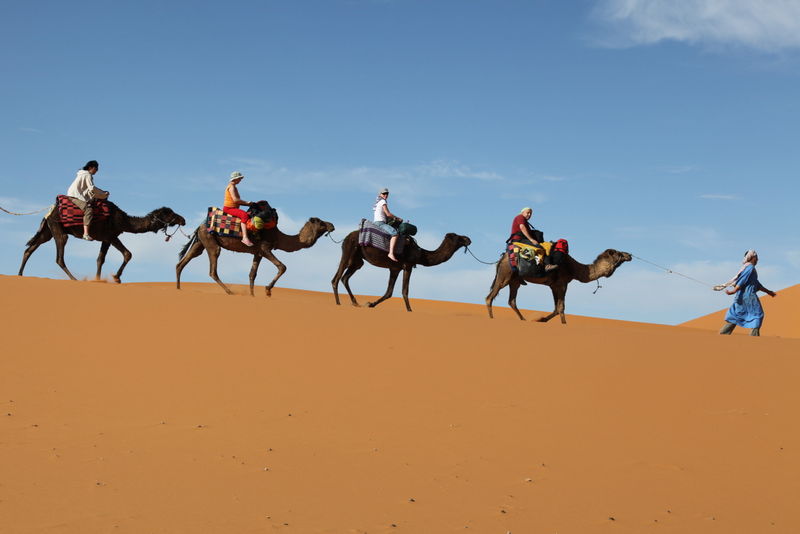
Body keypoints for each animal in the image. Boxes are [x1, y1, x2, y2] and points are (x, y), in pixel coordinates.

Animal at [18, 201, 186, 283]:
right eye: (169, 214)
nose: (183, 220)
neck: (123, 220)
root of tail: (49, 211)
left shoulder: (106, 239)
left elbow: (100, 259)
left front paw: (99, 280)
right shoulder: (111, 236)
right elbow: (128, 254)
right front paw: (116, 278)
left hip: (48, 230)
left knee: (30, 249)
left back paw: (19, 275)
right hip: (58, 229)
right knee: (59, 257)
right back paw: (75, 279)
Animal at [176, 217, 335, 296]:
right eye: (321, 222)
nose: (332, 225)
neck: (279, 236)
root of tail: (200, 226)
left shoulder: (257, 253)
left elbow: (252, 274)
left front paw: (253, 296)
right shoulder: (265, 248)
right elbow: (282, 267)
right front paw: (268, 290)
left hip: (200, 242)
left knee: (183, 262)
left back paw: (178, 289)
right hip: (210, 242)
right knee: (212, 268)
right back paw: (229, 291)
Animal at [331, 230, 472, 312]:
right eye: (458, 237)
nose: (468, 239)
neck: (421, 254)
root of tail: (346, 236)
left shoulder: (395, 268)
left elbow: (389, 292)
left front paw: (371, 304)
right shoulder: (408, 266)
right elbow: (405, 290)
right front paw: (409, 310)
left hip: (357, 260)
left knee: (345, 277)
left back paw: (355, 303)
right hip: (349, 249)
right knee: (337, 277)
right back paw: (338, 303)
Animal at [486, 248, 632, 324]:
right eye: (619, 253)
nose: (629, 255)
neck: (574, 269)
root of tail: (502, 258)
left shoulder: (554, 285)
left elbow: (556, 308)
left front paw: (542, 320)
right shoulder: (562, 284)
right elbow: (561, 307)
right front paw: (564, 324)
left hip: (515, 280)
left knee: (512, 300)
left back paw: (523, 319)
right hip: (505, 275)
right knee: (490, 296)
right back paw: (492, 318)